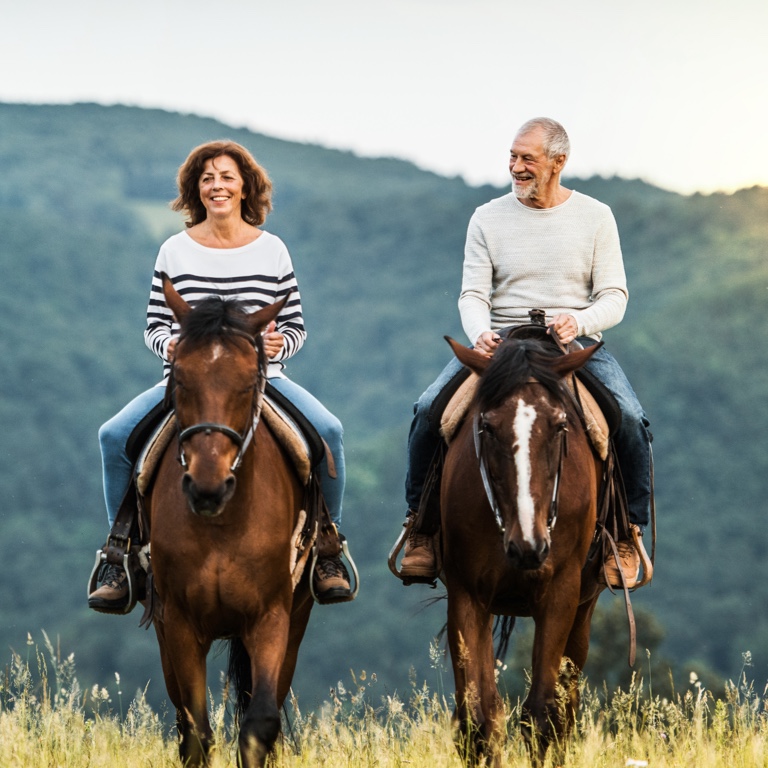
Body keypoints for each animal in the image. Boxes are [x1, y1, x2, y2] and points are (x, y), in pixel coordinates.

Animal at [145, 275, 314, 768]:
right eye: (180, 378)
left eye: (247, 383)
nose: (208, 487)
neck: (223, 525)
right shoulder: (179, 623)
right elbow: (196, 733)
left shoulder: (271, 618)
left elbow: (260, 723)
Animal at [440, 333, 608, 766]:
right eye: (487, 426)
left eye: (561, 424)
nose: (528, 547)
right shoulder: (467, 594)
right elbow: (477, 720)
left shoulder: (561, 593)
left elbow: (543, 715)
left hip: (584, 608)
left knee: (566, 708)